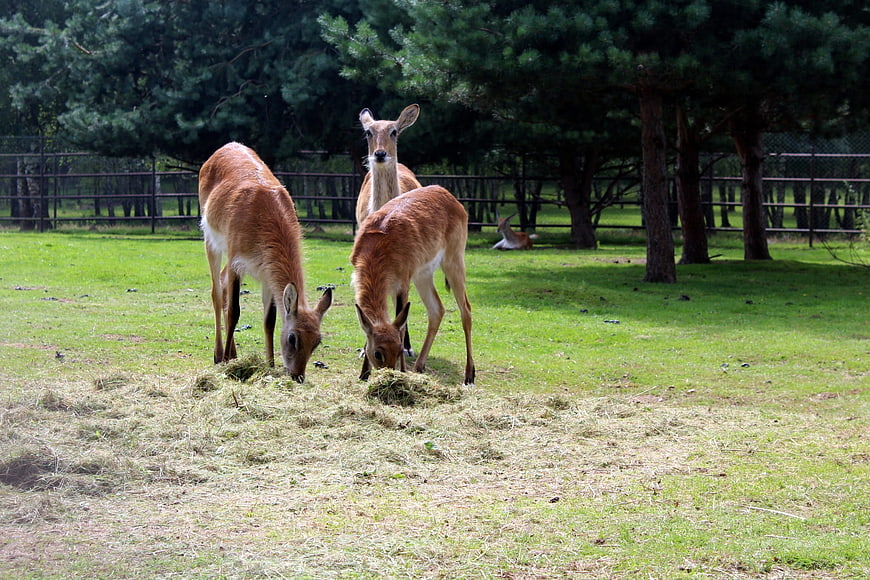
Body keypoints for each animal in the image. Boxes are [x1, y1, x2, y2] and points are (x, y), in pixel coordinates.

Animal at [198, 142, 333, 383]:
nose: (298, 375)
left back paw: (233, 353)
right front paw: (226, 364)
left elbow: (269, 319)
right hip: (211, 241)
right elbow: (234, 312)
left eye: (317, 341)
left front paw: (269, 365)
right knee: (217, 292)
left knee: (221, 284)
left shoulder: (266, 274)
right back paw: (219, 354)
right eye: (292, 338)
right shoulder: (236, 260)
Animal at [351, 185, 475, 386]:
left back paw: (469, 375)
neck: (377, 244)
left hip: (453, 262)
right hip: (423, 275)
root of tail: (446, 193)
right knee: (437, 309)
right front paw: (363, 374)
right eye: (378, 353)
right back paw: (419, 366)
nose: (389, 373)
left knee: (466, 310)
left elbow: (400, 326)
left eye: (399, 350)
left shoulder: (402, 284)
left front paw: (402, 371)